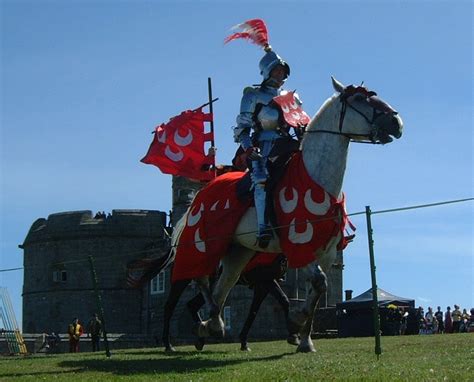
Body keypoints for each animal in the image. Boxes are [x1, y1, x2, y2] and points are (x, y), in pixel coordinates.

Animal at [161, 77, 402, 352]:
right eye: (359, 99)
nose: (396, 122)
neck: (316, 179)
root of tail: (200, 194)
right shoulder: (298, 246)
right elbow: (317, 283)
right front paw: (296, 322)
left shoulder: (326, 254)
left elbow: (318, 290)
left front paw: (305, 341)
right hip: (205, 245)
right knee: (199, 280)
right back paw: (202, 327)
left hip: (238, 252)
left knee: (224, 285)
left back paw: (211, 325)